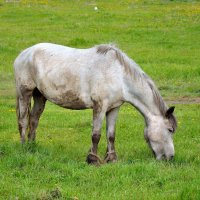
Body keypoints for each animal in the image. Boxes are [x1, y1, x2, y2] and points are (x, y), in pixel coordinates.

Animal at [13, 43, 177, 163]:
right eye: (170, 129)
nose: (170, 157)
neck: (118, 75)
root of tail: (23, 54)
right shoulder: (100, 106)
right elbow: (96, 135)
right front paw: (93, 159)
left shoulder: (114, 108)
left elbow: (111, 135)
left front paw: (111, 158)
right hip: (24, 93)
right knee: (23, 121)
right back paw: (23, 147)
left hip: (40, 96)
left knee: (34, 120)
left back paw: (32, 146)